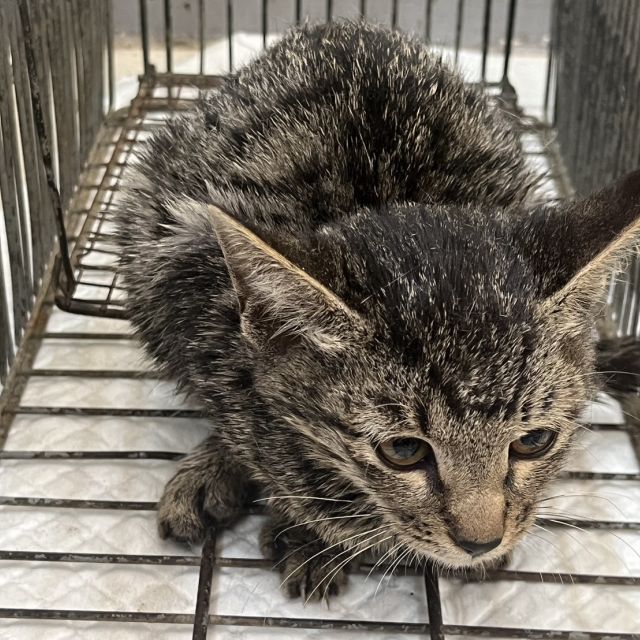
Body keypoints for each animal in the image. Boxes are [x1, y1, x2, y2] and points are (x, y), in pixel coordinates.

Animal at [116, 20, 640, 600]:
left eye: (535, 441)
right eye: (404, 451)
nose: (480, 542)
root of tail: (336, 25)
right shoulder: (195, 290)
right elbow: (255, 431)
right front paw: (308, 523)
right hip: (147, 226)